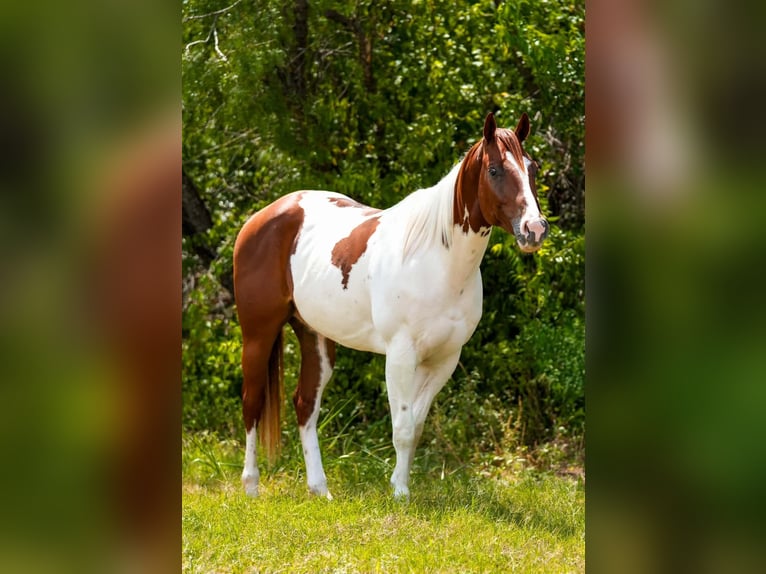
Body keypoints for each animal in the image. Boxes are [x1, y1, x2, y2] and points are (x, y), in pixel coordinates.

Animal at [233, 112, 549, 499]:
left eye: (533, 168)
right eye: (494, 170)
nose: (534, 229)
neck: (436, 260)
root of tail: (261, 218)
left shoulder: (445, 358)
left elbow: (416, 425)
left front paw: (401, 484)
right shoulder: (400, 355)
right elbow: (402, 426)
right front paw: (399, 493)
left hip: (314, 336)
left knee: (305, 403)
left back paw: (320, 489)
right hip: (258, 334)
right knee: (252, 402)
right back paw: (251, 486)